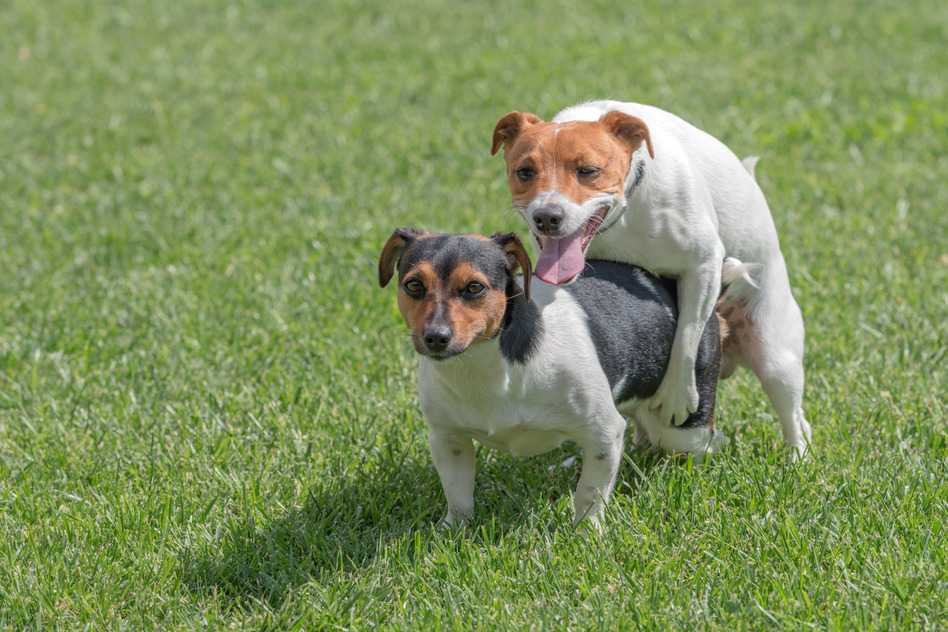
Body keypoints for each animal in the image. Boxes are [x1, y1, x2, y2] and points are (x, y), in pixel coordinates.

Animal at [378, 231, 748, 528]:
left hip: (682, 425)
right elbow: (457, 493)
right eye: (413, 285)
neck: (486, 366)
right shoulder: (447, 439)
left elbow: (590, 493)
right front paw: (453, 530)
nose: (435, 337)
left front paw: (586, 533)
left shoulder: (604, 432)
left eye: (474, 288)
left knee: (701, 441)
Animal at [492, 102, 812, 460]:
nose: (547, 217)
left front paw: (677, 396)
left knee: (794, 416)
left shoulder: (703, 265)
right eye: (524, 172)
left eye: (588, 171)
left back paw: (797, 456)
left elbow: (687, 334)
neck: (626, 212)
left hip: (775, 356)